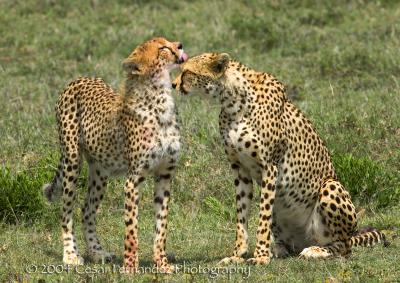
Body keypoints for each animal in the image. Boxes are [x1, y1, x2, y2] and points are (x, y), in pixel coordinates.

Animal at [43, 37, 188, 272]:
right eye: (163, 48)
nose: (180, 45)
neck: (160, 99)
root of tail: (79, 78)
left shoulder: (165, 176)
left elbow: (161, 227)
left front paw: (162, 265)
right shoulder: (133, 180)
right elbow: (131, 228)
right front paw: (130, 268)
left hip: (100, 172)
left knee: (87, 209)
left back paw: (97, 252)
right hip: (72, 160)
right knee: (66, 210)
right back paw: (71, 254)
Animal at [173, 53, 390, 266]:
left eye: (187, 72)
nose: (174, 84)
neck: (232, 100)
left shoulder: (269, 167)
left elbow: (262, 218)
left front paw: (260, 256)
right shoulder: (240, 169)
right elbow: (241, 216)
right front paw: (238, 254)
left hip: (330, 186)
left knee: (344, 248)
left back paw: (315, 251)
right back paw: (280, 249)